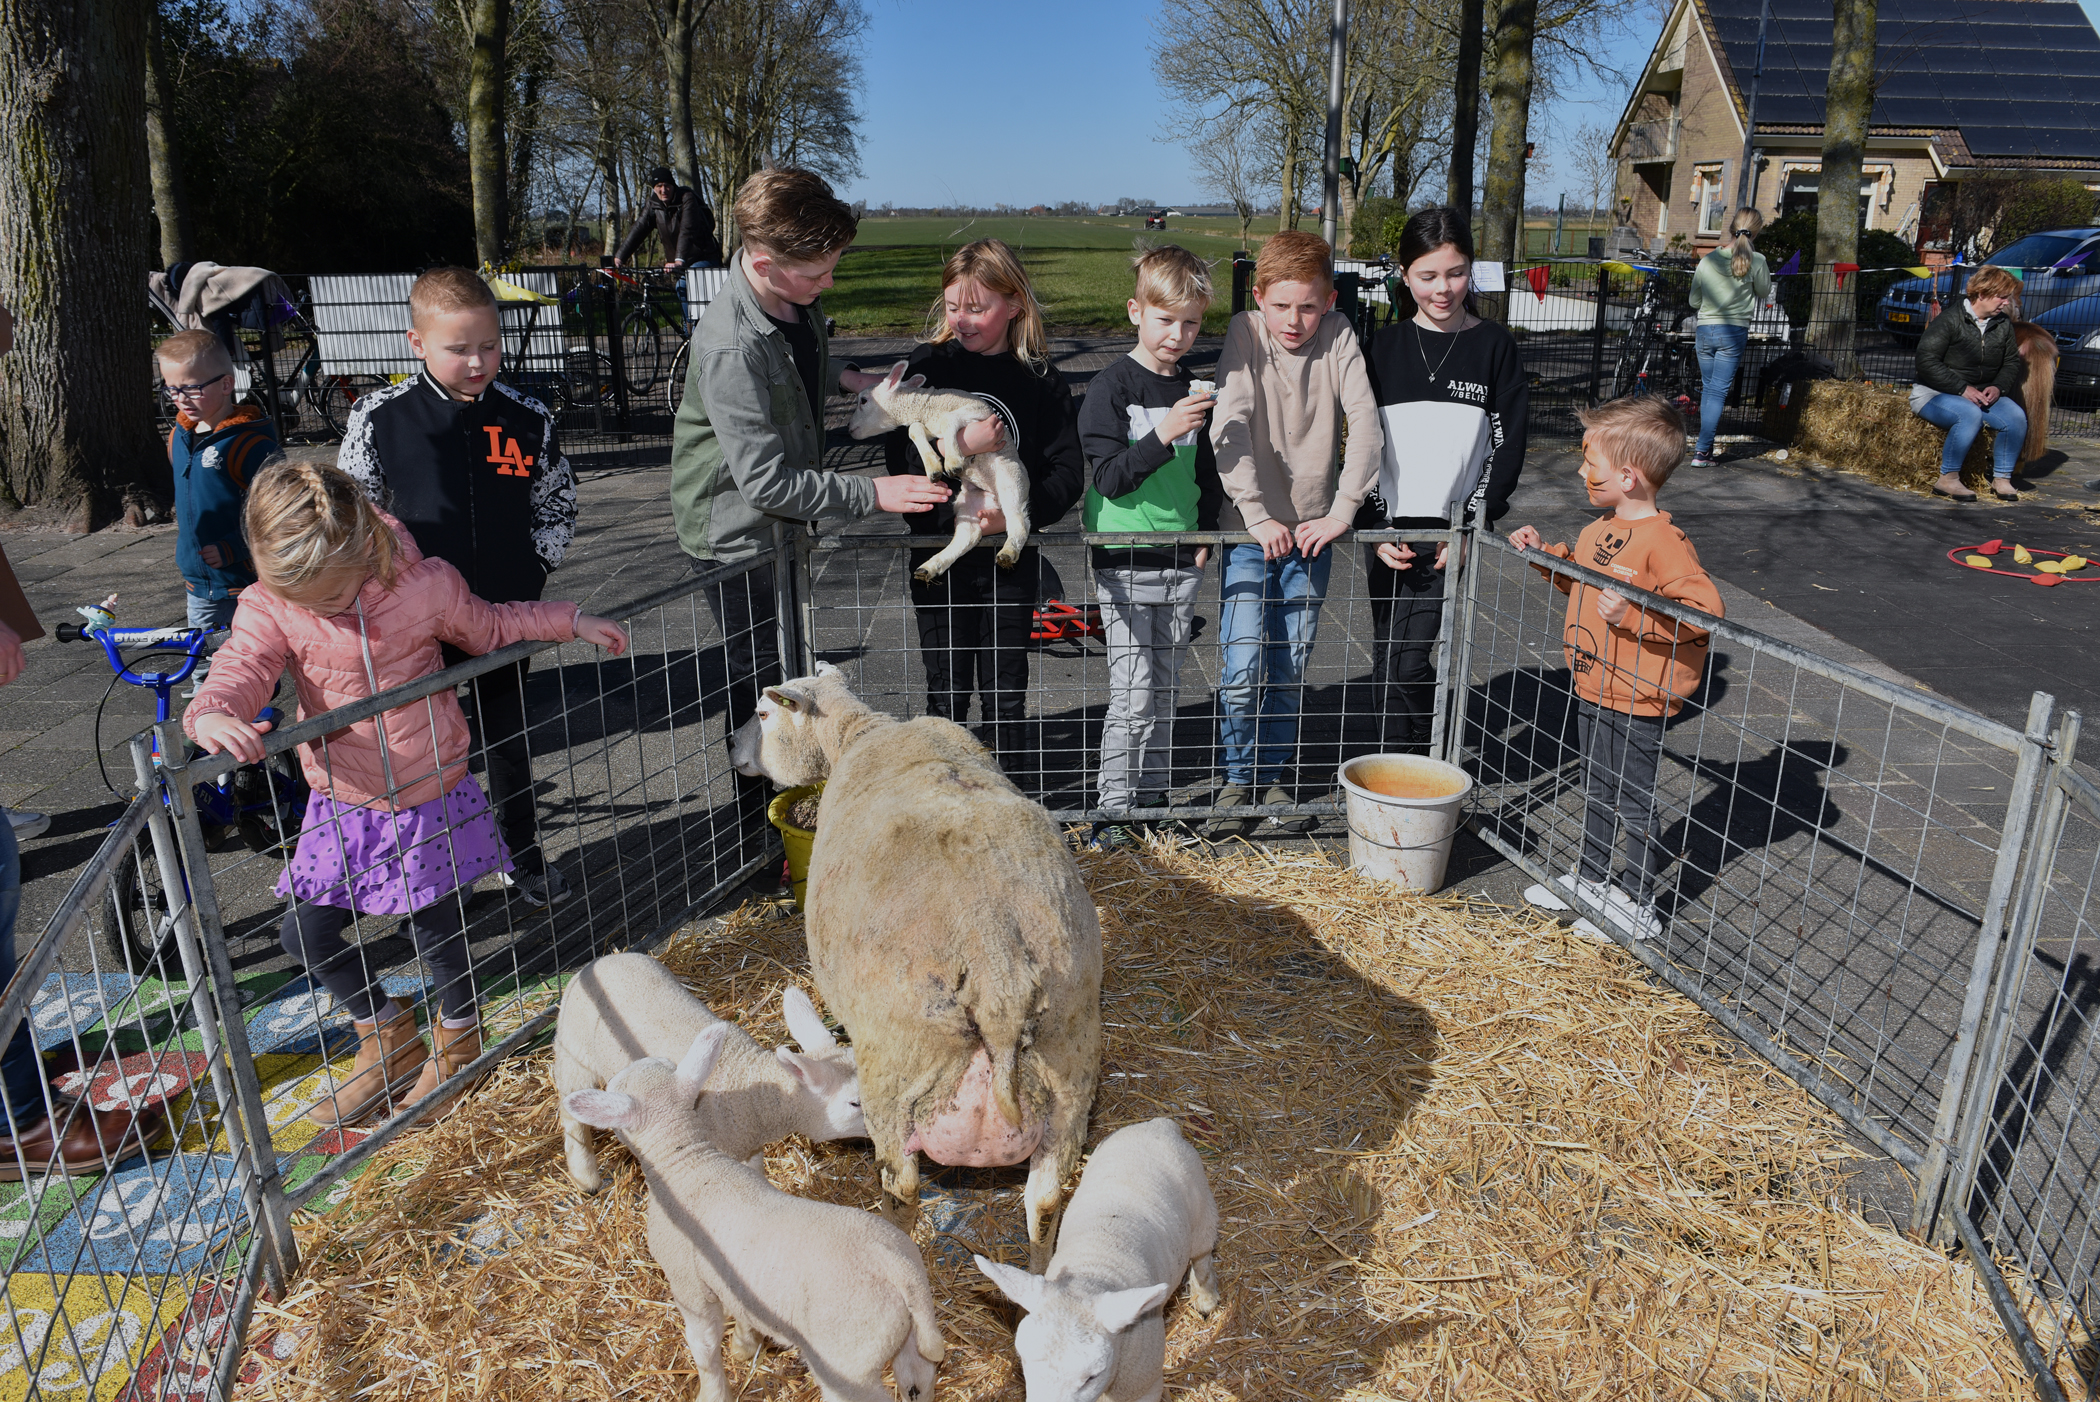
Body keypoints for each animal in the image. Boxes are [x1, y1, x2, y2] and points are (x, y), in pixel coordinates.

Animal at [554, 948, 865, 1192]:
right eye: (855, 1103)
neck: (748, 1077)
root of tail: (595, 962)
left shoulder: (747, 1145)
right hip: (573, 1053)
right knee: (570, 1114)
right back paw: (585, 1177)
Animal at [567, 1020, 944, 1402]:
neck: (686, 1162)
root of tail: (903, 1273)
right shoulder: (735, 1284)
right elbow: (743, 1315)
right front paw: (745, 1345)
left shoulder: (689, 1286)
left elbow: (704, 1347)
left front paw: (713, 1391)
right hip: (905, 1332)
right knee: (920, 1373)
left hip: (848, 1363)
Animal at [726, 663, 1100, 1267]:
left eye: (762, 713)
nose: (730, 747)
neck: (859, 732)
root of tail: (999, 973)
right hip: (1071, 1072)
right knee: (1045, 1201)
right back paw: (1043, 1274)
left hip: (898, 1069)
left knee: (901, 1188)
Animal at [839, 365, 1029, 583]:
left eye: (863, 400)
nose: (848, 428)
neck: (930, 406)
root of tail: (994, 498)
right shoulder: (931, 428)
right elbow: (914, 429)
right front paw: (934, 468)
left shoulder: (977, 411)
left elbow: (948, 419)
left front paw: (953, 462)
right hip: (969, 502)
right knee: (968, 536)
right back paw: (930, 567)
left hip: (1010, 479)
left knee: (1019, 523)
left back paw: (1008, 554)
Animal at [974, 1116, 1226, 1402]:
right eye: (1023, 1358)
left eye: (1091, 1377)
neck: (1092, 1275)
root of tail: (1158, 1125)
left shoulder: (1144, 1387)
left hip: (1203, 1213)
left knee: (1202, 1255)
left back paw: (1205, 1297)